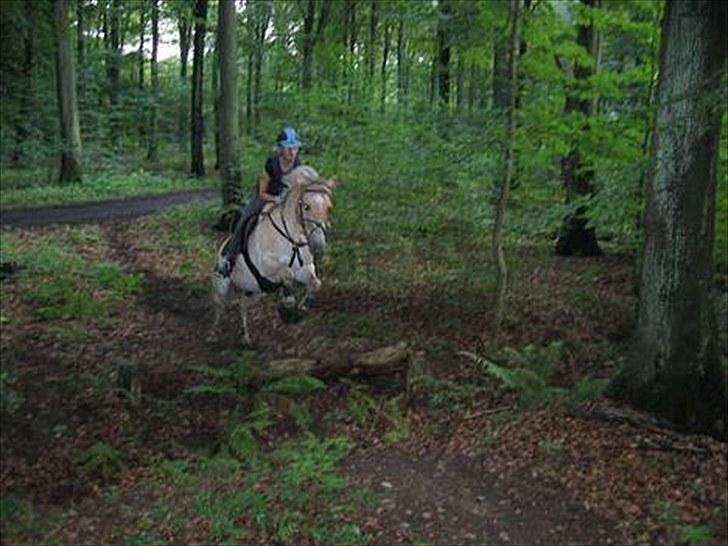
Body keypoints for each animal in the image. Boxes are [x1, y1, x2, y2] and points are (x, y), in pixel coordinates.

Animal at [209, 166, 336, 344]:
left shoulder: (304, 269)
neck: (291, 240)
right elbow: (287, 274)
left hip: (255, 292)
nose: (318, 248)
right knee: (219, 308)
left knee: (242, 306)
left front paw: (300, 309)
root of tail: (221, 250)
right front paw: (287, 304)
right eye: (306, 206)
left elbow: (315, 283)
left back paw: (246, 337)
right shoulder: (266, 268)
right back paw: (213, 334)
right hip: (221, 286)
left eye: (329, 208)